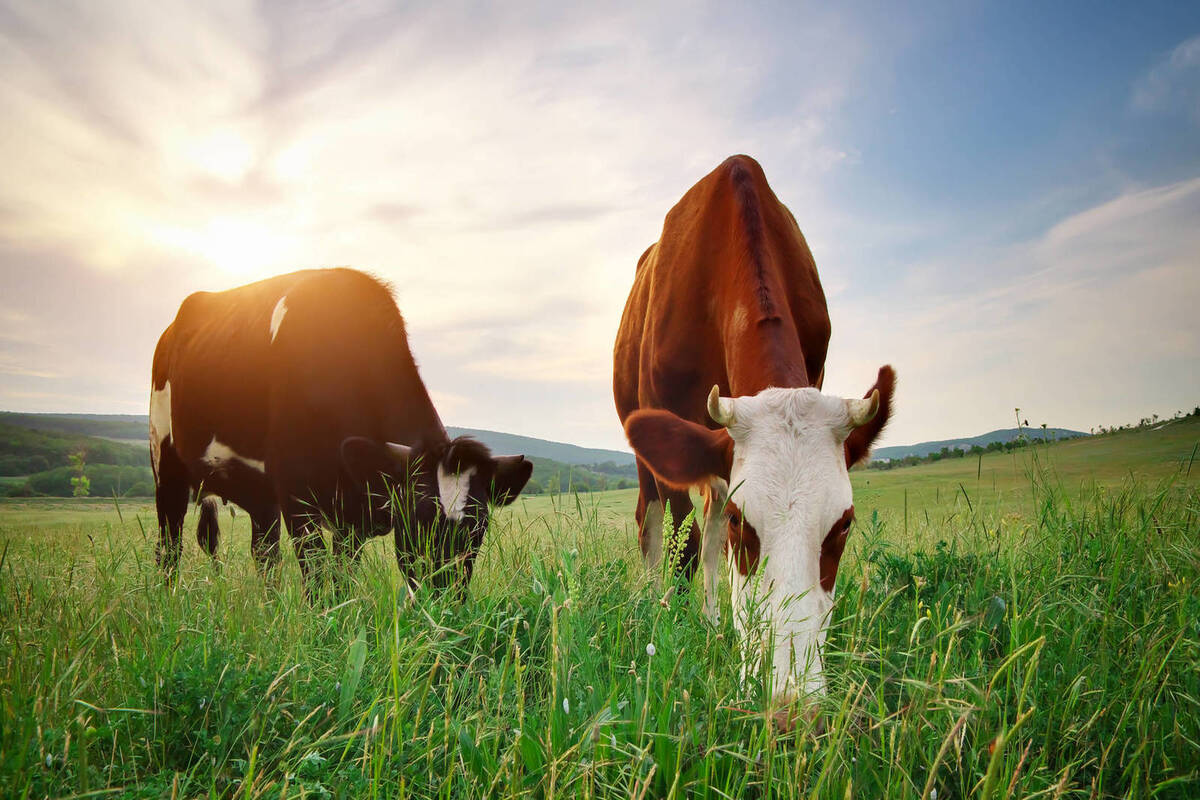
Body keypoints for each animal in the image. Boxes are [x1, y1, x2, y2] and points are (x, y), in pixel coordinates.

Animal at [148, 268, 530, 594]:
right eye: (418, 520)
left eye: (477, 529)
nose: (444, 602)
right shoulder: (297, 496)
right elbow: (317, 579)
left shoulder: (352, 516)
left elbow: (342, 578)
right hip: (166, 463)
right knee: (169, 545)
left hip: (259, 495)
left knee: (264, 554)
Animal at [614, 153, 897, 714]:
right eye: (746, 524)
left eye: (843, 527)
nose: (791, 707)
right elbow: (685, 546)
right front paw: (682, 629)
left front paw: (716, 628)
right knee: (654, 523)